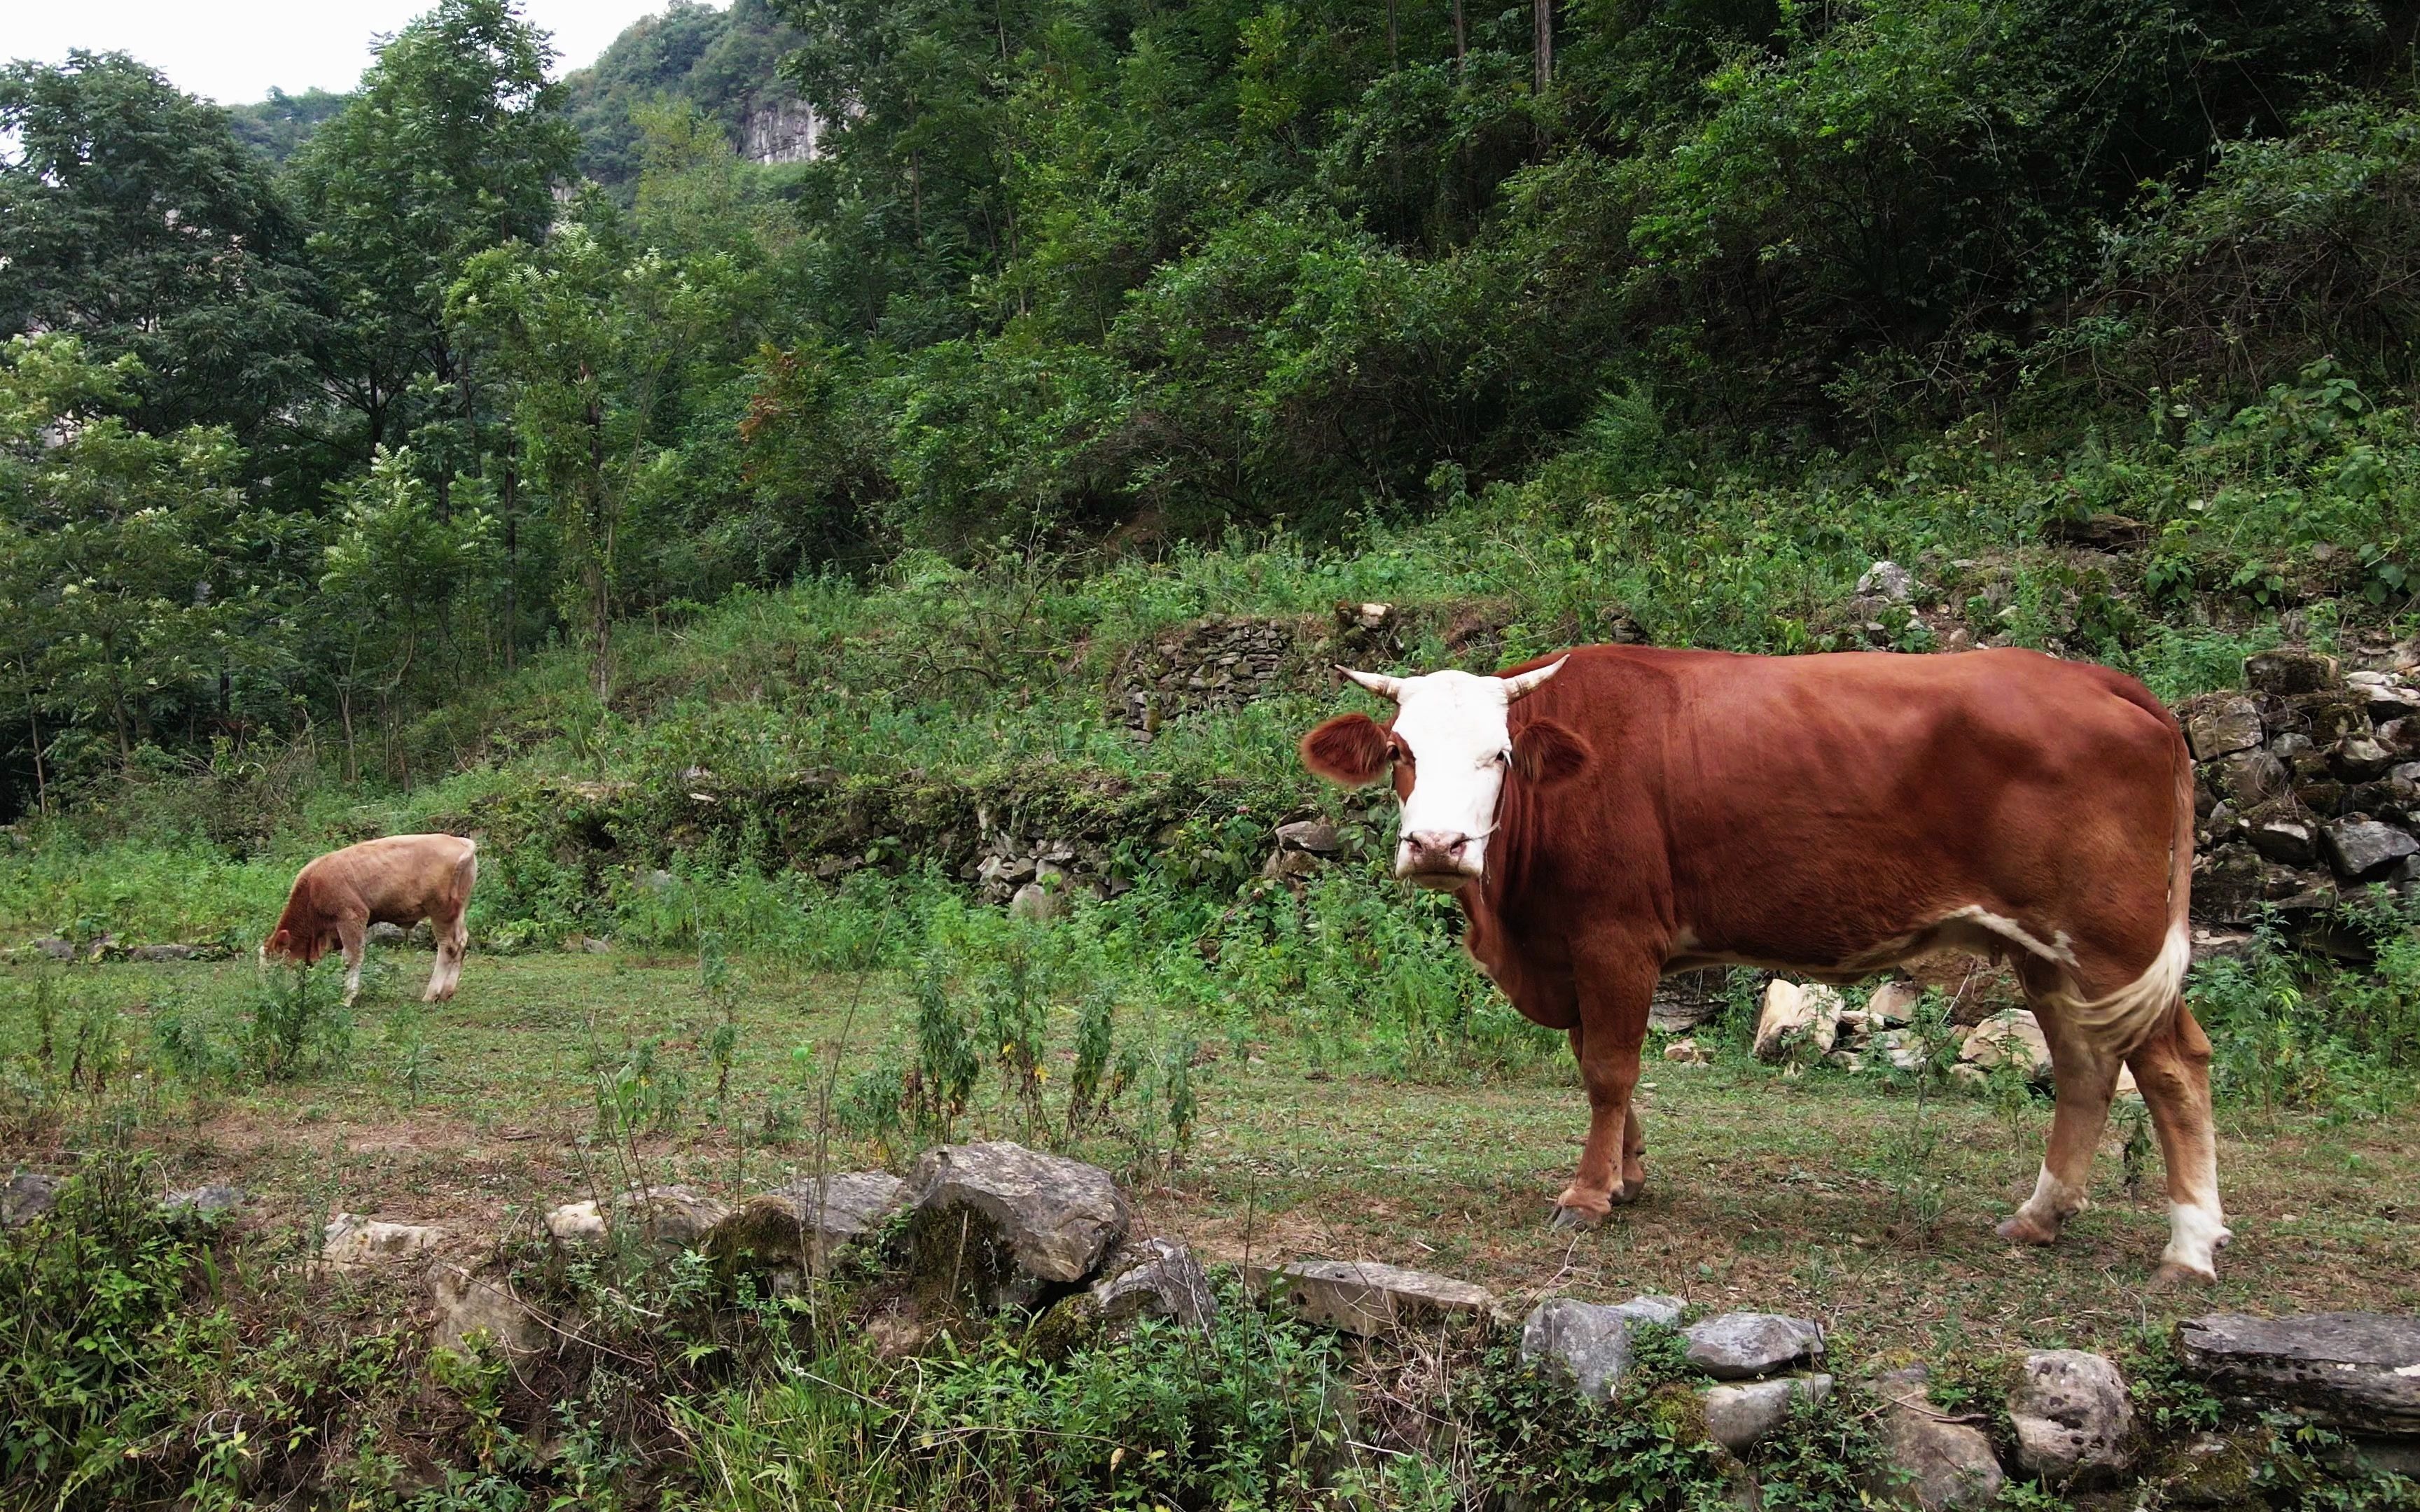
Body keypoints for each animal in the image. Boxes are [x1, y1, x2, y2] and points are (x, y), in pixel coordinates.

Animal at [262, 836, 479, 1001]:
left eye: (272, 971)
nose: (267, 996)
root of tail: (460, 841)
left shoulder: (352, 916)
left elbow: (352, 957)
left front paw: (347, 997)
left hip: (441, 912)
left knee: (448, 947)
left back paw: (431, 994)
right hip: (457, 913)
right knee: (461, 942)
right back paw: (447, 993)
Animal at [1307, 643, 2226, 1277]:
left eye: (1496, 756)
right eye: (1400, 754)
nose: (1437, 845)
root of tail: (2101, 681)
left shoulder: (1613, 936)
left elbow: (1608, 1069)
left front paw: (1588, 1195)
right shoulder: (1574, 950)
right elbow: (1601, 1065)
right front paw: (1629, 1178)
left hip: (2111, 942)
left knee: (2173, 1065)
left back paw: (2189, 1246)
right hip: (2048, 953)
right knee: (2084, 1065)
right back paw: (2040, 1216)